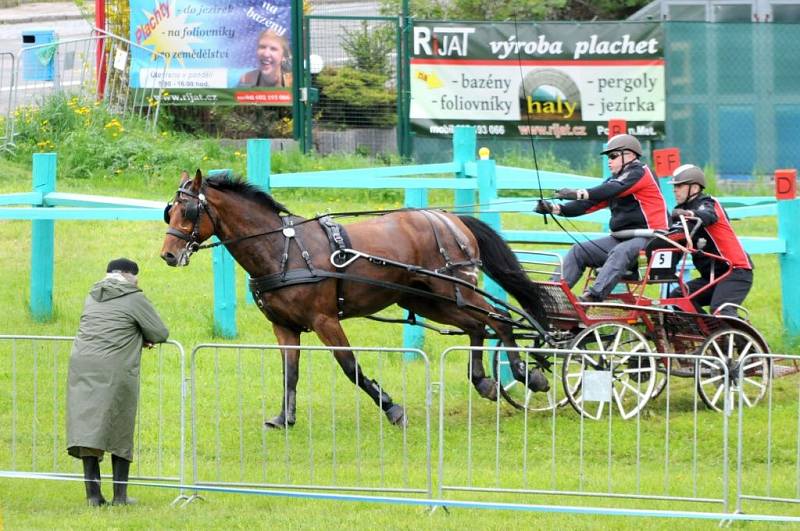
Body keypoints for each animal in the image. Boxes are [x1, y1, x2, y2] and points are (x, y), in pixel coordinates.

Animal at [161, 172, 552, 430]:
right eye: (169, 211)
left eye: (189, 212)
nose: (168, 254)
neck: (283, 249)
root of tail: (450, 218)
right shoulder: (284, 326)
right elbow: (290, 371)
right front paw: (284, 417)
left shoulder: (325, 320)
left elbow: (350, 367)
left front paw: (391, 407)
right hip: (430, 300)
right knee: (477, 326)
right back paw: (484, 381)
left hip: (454, 290)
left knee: (498, 318)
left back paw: (525, 374)